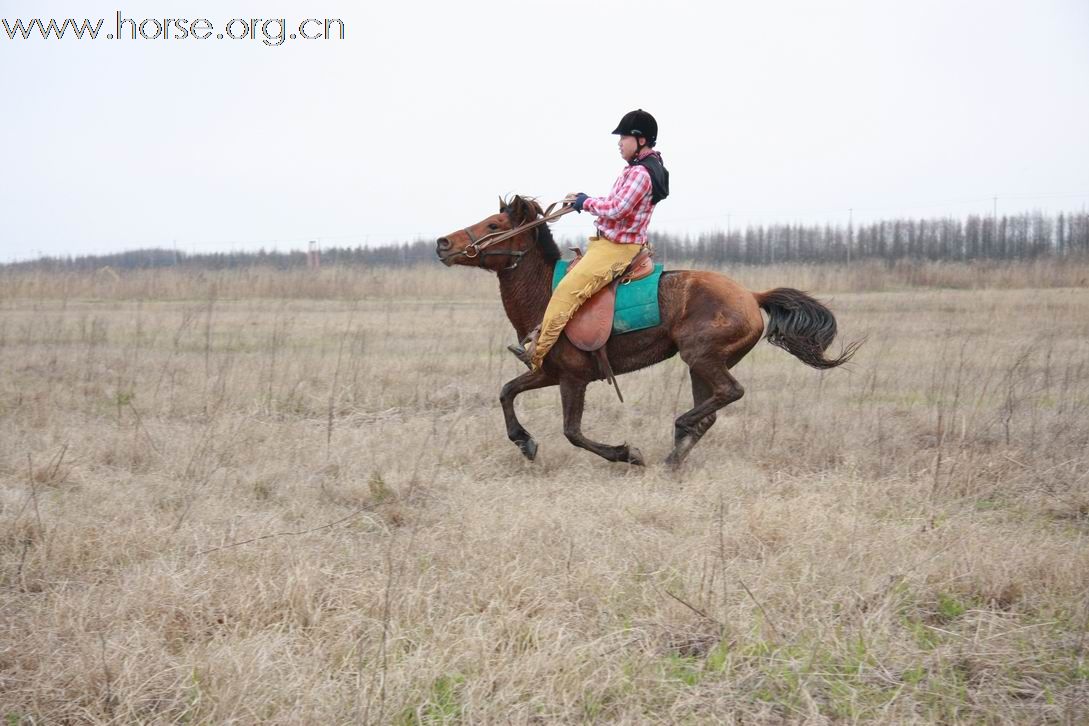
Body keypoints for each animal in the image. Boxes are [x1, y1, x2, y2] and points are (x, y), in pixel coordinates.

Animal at [433, 195, 858, 468]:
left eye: (494, 224)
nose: (442, 242)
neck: (547, 294)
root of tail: (753, 296)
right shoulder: (548, 372)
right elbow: (507, 391)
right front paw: (524, 442)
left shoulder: (573, 378)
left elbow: (572, 431)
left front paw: (627, 454)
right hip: (700, 365)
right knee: (711, 411)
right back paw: (673, 459)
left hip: (701, 356)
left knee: (729, 392)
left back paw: (678, 431)